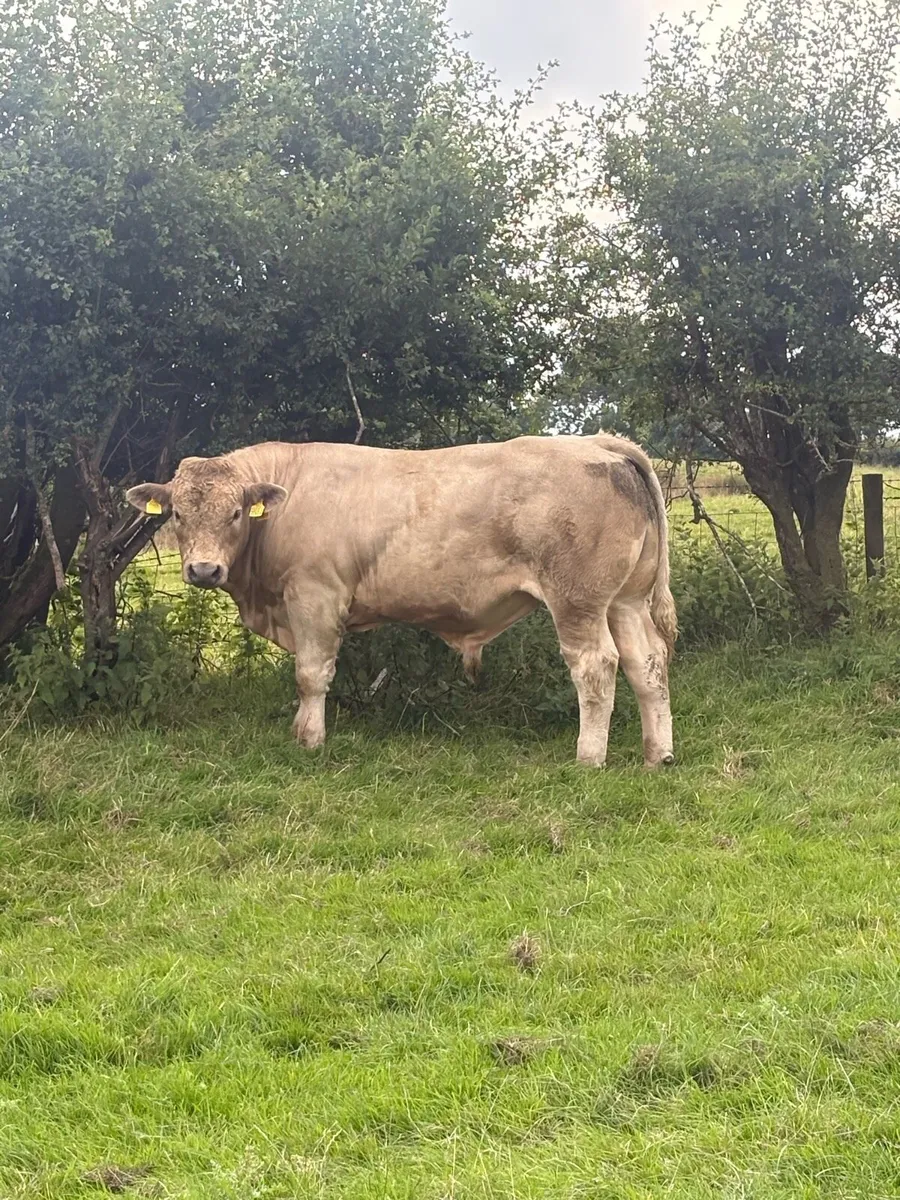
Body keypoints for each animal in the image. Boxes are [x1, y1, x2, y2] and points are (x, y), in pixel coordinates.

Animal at [126, 433, 676, 767]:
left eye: (237, 512)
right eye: (177, 514)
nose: (203, 570)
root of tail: (597, 443)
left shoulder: (315, 596)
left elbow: (310, 675)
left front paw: (310, 740)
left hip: (577, 601)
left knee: (595, 666)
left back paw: (589, 757)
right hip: (625, 600)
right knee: (646, 664)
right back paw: (658, 755)